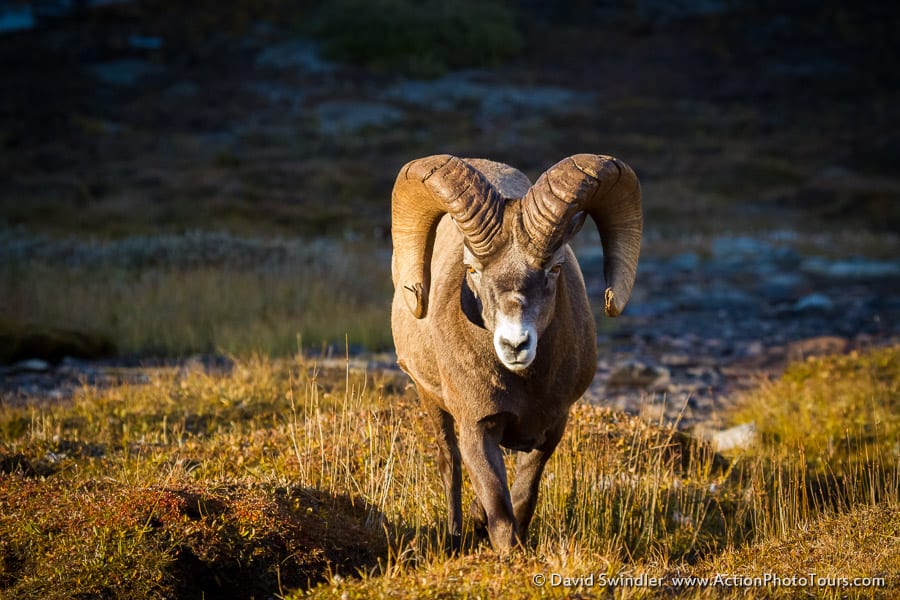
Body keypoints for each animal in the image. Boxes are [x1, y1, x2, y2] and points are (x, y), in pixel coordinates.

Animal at [388, 152, 640, 552]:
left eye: (555, 267)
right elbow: (500, 514)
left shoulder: (550, 429)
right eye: (471, 268)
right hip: (429, 399)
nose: (515, 345)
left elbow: (521, 501)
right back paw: (455, 537)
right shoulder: (476, 428)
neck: (524, 385)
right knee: (449, 464)